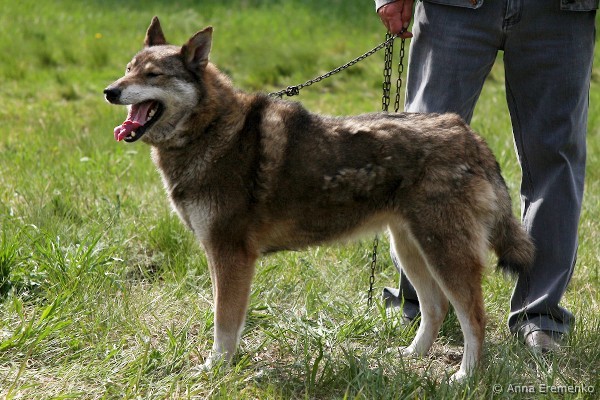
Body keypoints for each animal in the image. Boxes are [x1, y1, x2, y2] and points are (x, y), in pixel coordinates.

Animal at [104, 17, 534, 382]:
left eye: (153, 75)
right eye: (127, 68)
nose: (110, 91)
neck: (210, 130)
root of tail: (470, 137)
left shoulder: (231, 255)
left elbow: (224, 323)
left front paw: (214, 370)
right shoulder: (220, 255)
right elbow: (224, 320)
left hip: (445, 254)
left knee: (473, 317)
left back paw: (465, 376)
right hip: (410, 249)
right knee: (435, 308)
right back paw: (411, 356)